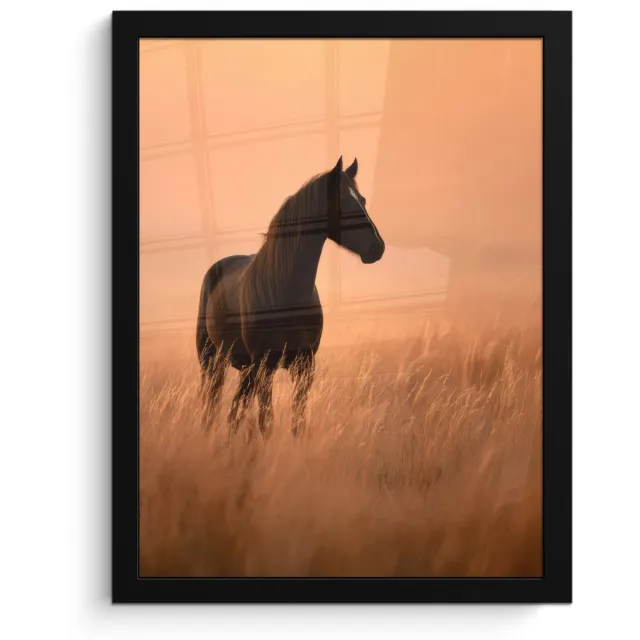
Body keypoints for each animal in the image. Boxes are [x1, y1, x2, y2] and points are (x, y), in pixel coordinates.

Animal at [195, 156, 385, 440]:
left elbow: (298, 422)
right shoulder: (265, 367)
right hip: (213, 362)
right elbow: (266, 422)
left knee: (233, 412)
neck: (285, 292)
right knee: (213, 407)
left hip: (244, 369)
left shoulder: (304, 365)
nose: (377, 247)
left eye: (361, 199)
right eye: (343, 201)